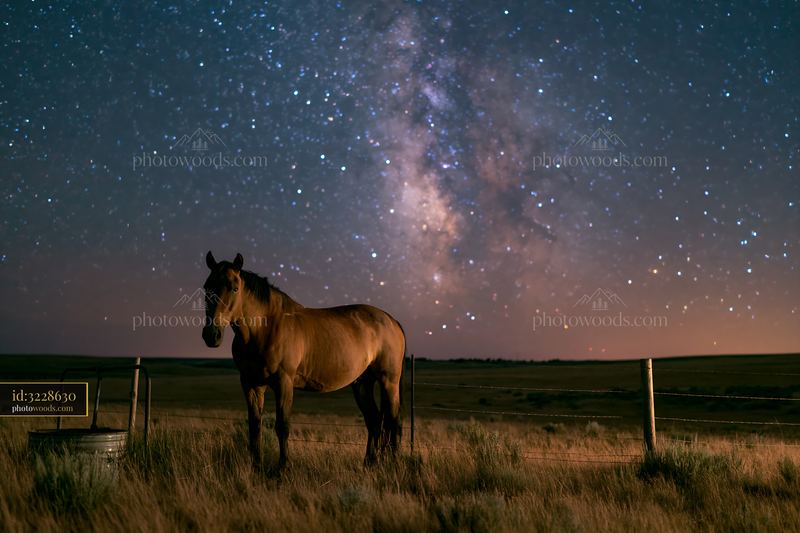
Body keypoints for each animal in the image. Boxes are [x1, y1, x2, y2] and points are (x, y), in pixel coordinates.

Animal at [201, 251, 406, 469]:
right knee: (374, 420)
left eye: (234, 288)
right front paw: (256, 466)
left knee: (394, 422)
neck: (265, 328)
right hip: (362, 384)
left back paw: (393, 464)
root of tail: (391, 320)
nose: (211, 335)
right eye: (207, 286)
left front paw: (283, 468)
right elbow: (254, 426)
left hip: (388, 382)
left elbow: (282, 426)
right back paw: (368, 463)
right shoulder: (251, 384)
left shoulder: (284, 382)